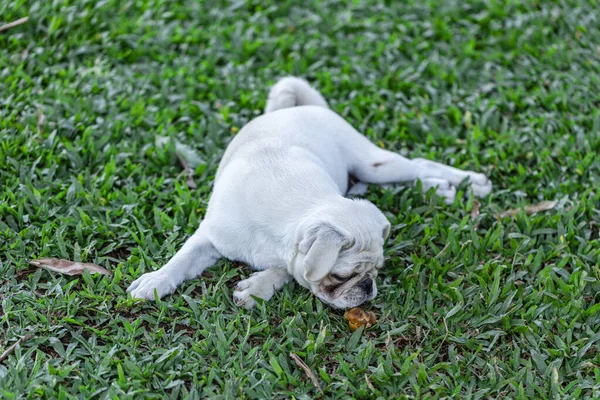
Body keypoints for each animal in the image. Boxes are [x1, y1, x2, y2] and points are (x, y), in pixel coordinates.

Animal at [127, 77, 492, 310]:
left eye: (376, 271)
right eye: (342, 276)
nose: (368, 286)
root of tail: (300, 108)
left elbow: (288, 270)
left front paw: (258, 287)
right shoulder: (209, 237)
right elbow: (182, 259)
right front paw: (156, 281)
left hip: (373, 163)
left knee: (416, 164)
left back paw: (468, 182)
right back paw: (443, 189)